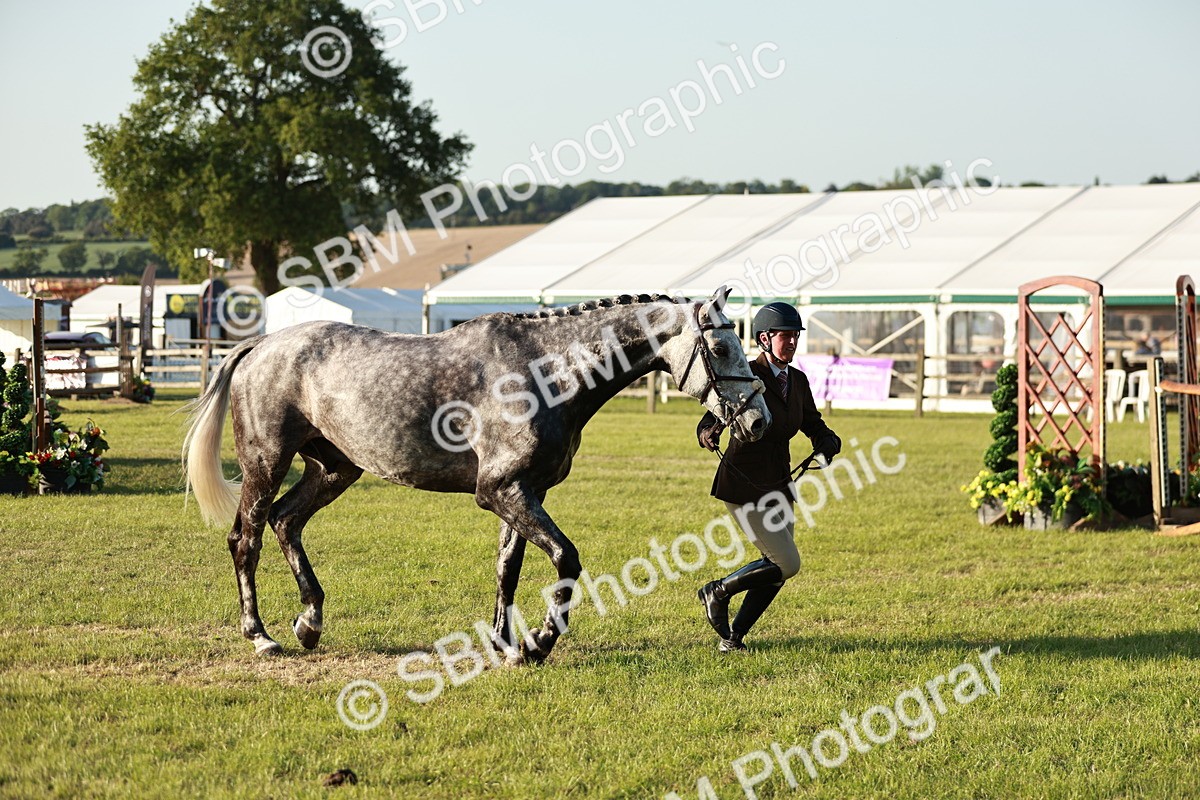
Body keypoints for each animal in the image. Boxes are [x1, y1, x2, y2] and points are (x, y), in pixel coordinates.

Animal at [183, 286, 770, 663]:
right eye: (721, 347)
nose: (757, 421)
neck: (546, 370)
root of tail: (261, 345)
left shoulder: (523, 493)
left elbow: (507, 568)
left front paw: (504, 643)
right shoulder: (501, 491)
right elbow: (565, 561)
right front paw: (536, 644)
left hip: (334, 469)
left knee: (286, 522)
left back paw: (309, 623)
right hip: (266, 463)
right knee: (246, 539)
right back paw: (260, 636)